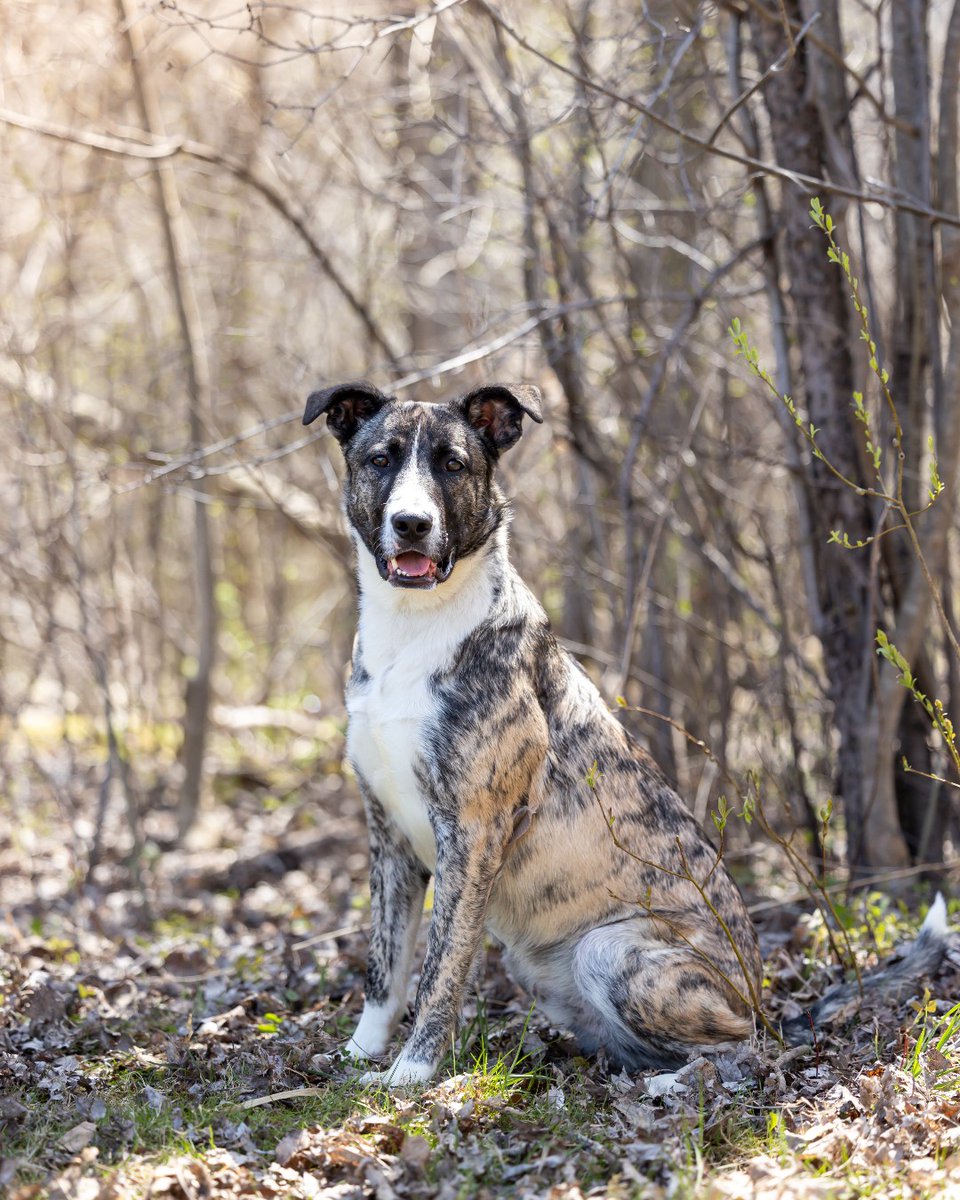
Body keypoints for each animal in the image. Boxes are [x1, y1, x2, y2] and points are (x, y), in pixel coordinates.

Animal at [303, 379, 950, 1084]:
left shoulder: (471, 831)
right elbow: (384, 968)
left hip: (612, 951)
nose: (412, 524)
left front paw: (413, 1073)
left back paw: (678, 1081)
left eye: (452, 464)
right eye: (381, 460)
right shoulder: (388, 833)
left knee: (742, 1046)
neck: (415, 627)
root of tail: (764, 1001)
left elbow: (439, 971)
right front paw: (358, 1054)